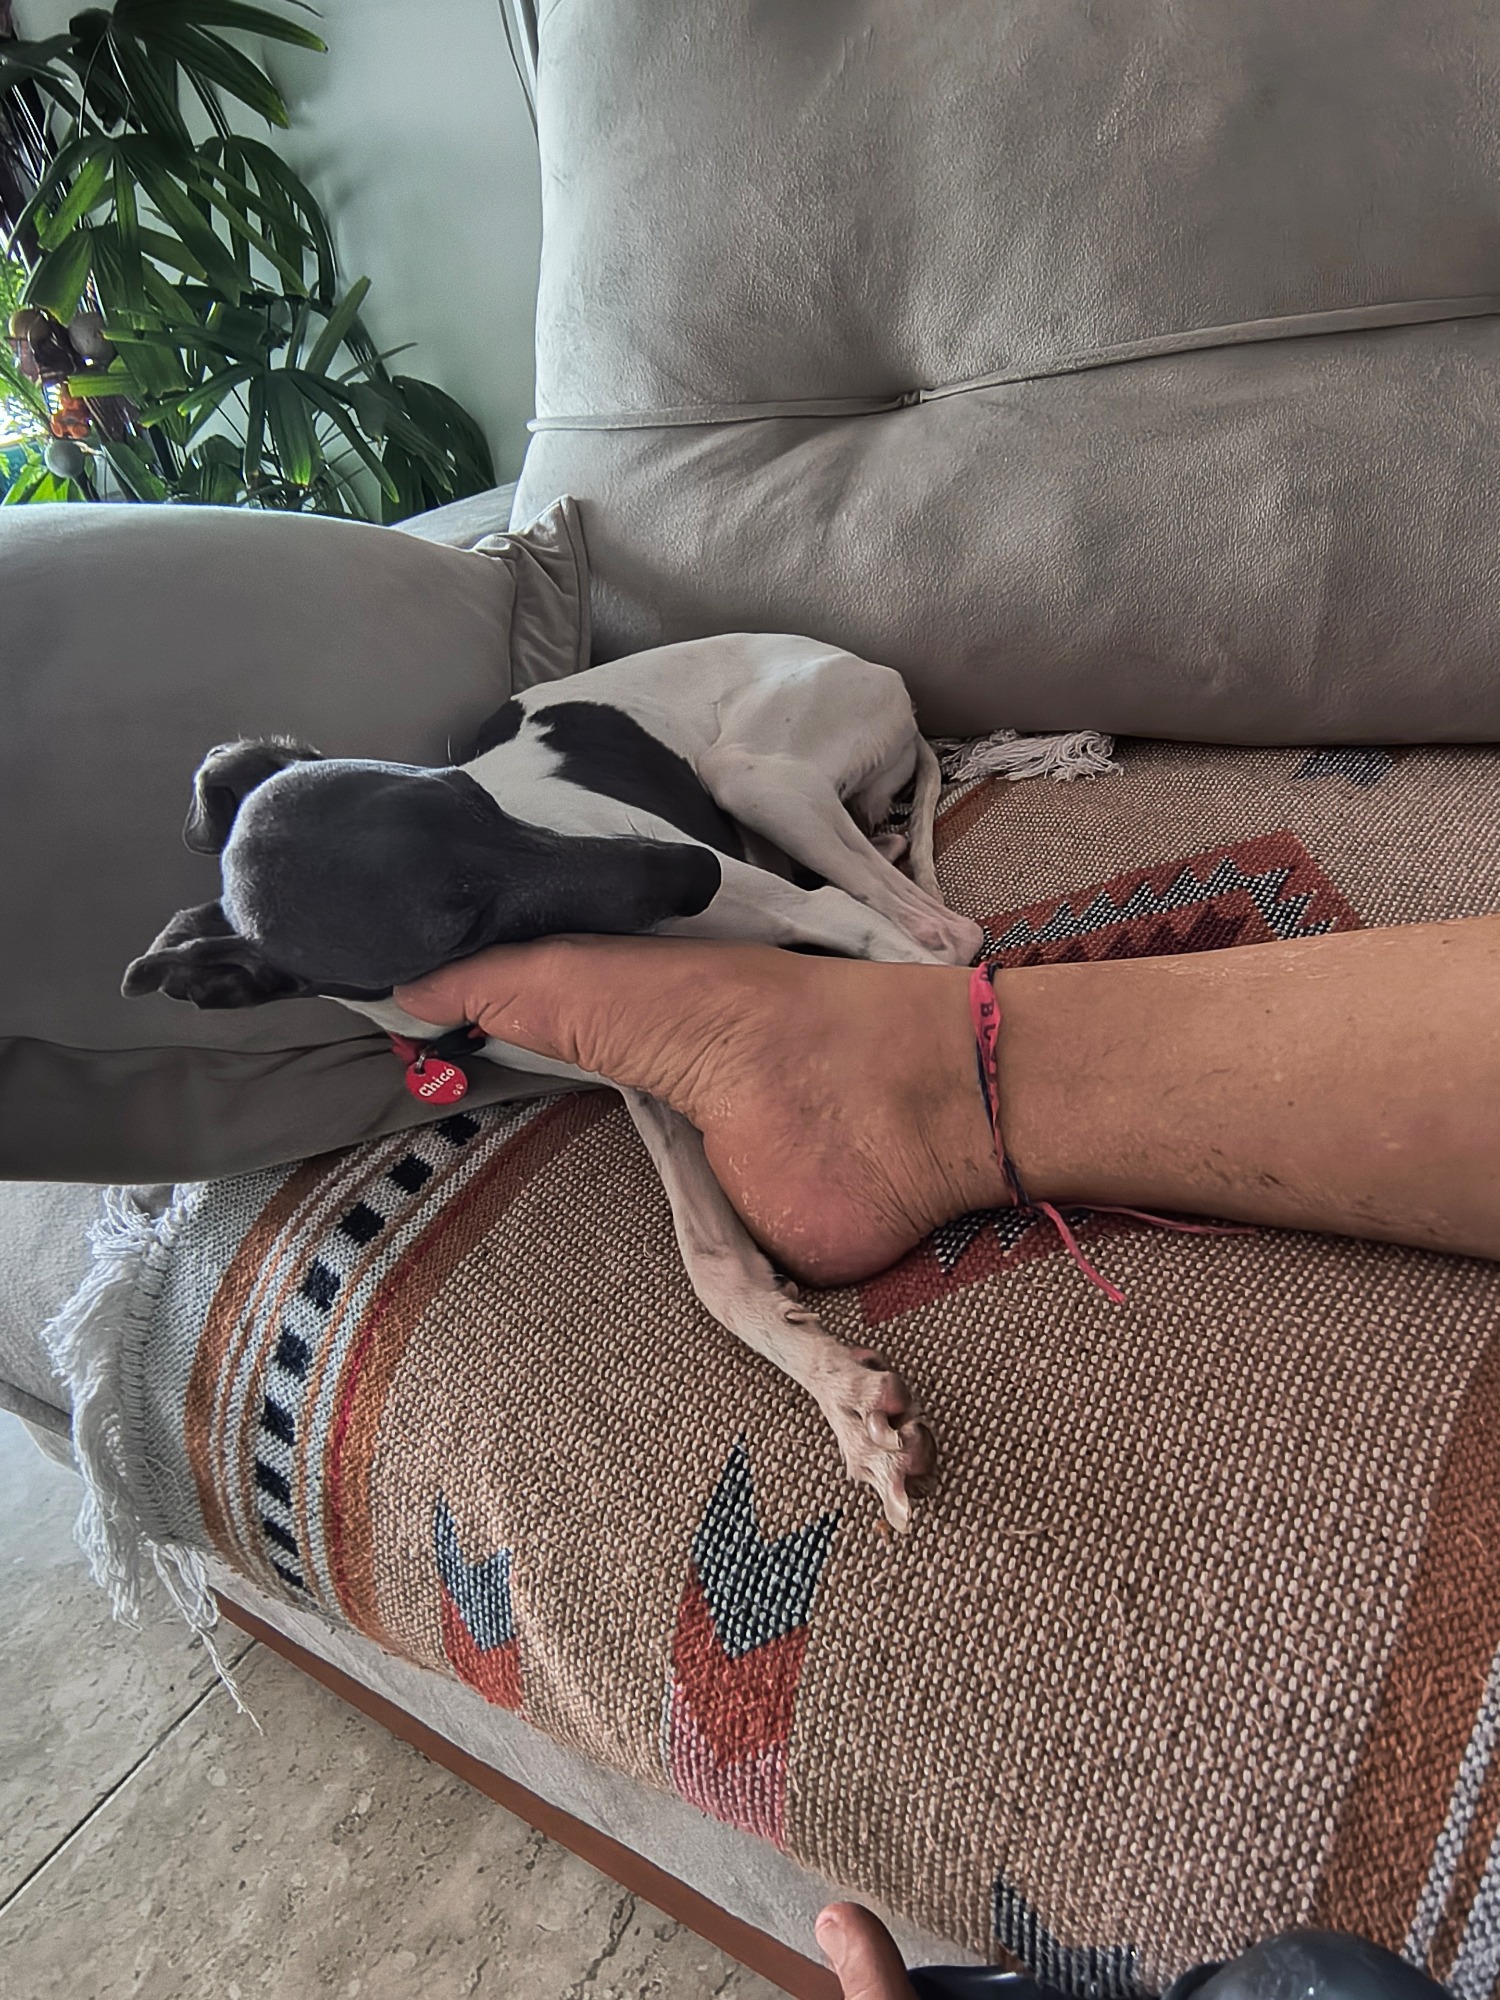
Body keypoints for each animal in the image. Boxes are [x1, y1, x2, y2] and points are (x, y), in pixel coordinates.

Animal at [124, 633, 985, 1528]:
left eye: (473, 794)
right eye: (457, 912)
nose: (695, 868)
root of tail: (871, 670)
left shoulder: (800, 915)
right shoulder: (644, 1069)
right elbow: (715, 1268)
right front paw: (843, 1392)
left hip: (753, 775)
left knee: (941, 934)